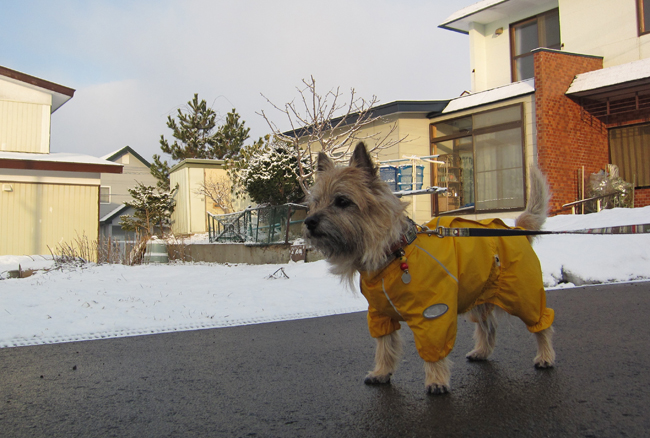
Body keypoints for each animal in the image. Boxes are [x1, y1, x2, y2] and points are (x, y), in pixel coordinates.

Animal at [302, 143, 552, 394]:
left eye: (342, 201)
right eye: (315, 203)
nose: (309, 221)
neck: (394, 254)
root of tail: (517, 229)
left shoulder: (434, 314)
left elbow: (433, 349)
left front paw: (437, 380)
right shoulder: (380, 315)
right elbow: (385, 345)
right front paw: (381, 372)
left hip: (523, 295)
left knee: (541, 323)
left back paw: (545, 356)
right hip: (479, 295)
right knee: (488, 326)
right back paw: (482, 351)